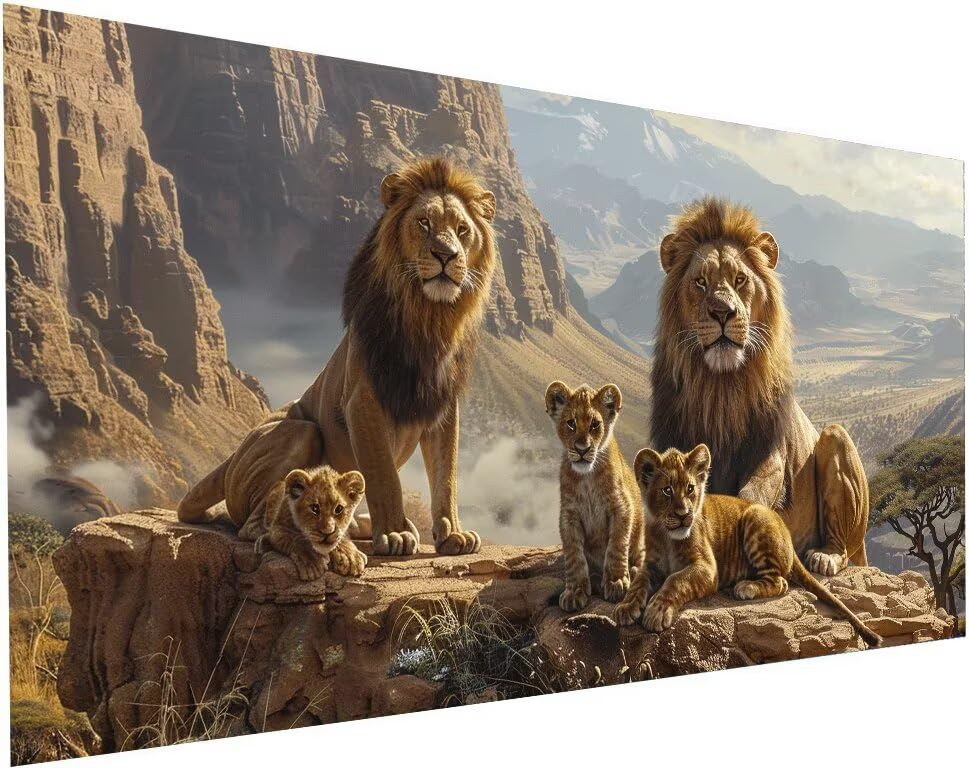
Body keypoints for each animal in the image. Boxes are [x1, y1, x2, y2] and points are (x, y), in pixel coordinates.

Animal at [178, 156, 498, 556]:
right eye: (424, 223)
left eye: (462, 229)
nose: (446, 255)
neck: (429, 319)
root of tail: (230, 459)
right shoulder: (362, 399)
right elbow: (383, 475)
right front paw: (395, 533)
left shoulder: (441, 405)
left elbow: (447, 474)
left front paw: (453, 533)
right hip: (302, 430)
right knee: (253, 522)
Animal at [650, 197, 868, 576]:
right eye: (700, 282)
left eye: (740, 280)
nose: (723, 312)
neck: (720, 388)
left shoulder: (769, 454)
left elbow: (751, 495)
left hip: (836, 438)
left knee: (842, 547)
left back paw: (823, 556)